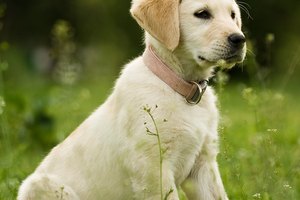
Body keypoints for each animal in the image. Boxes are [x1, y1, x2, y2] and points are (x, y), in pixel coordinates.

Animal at [17, 0, 246, 198]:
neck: (181, 88)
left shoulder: (203, 164)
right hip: (40, 185)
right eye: (202, 14)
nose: (239, 39)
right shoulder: (153, 168)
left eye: (233, 15)